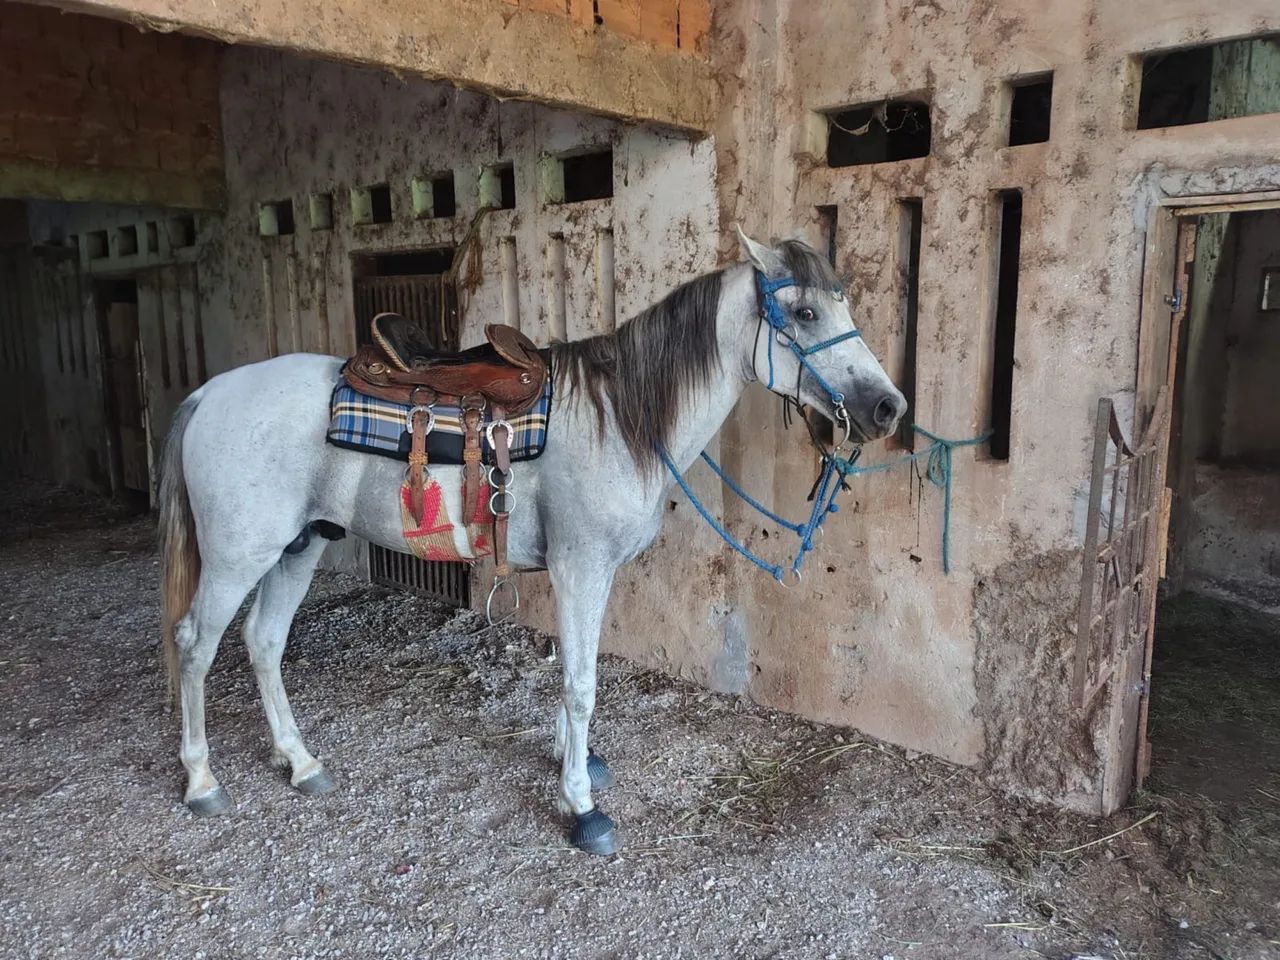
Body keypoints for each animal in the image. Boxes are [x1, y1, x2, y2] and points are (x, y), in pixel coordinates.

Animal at [157, 228, 907, 855]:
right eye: (804, 314)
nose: (887, 407)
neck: (621, 417)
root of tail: (208, 395)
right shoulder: (581, 567)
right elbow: (581, 684)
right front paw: (581, 807)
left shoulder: (586, 573)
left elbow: (575, 671)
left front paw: (576, 763)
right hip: (238, 557)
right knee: (196, 644)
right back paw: (202, 781)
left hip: (300, 546)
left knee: (264, 641)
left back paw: (301, 761)